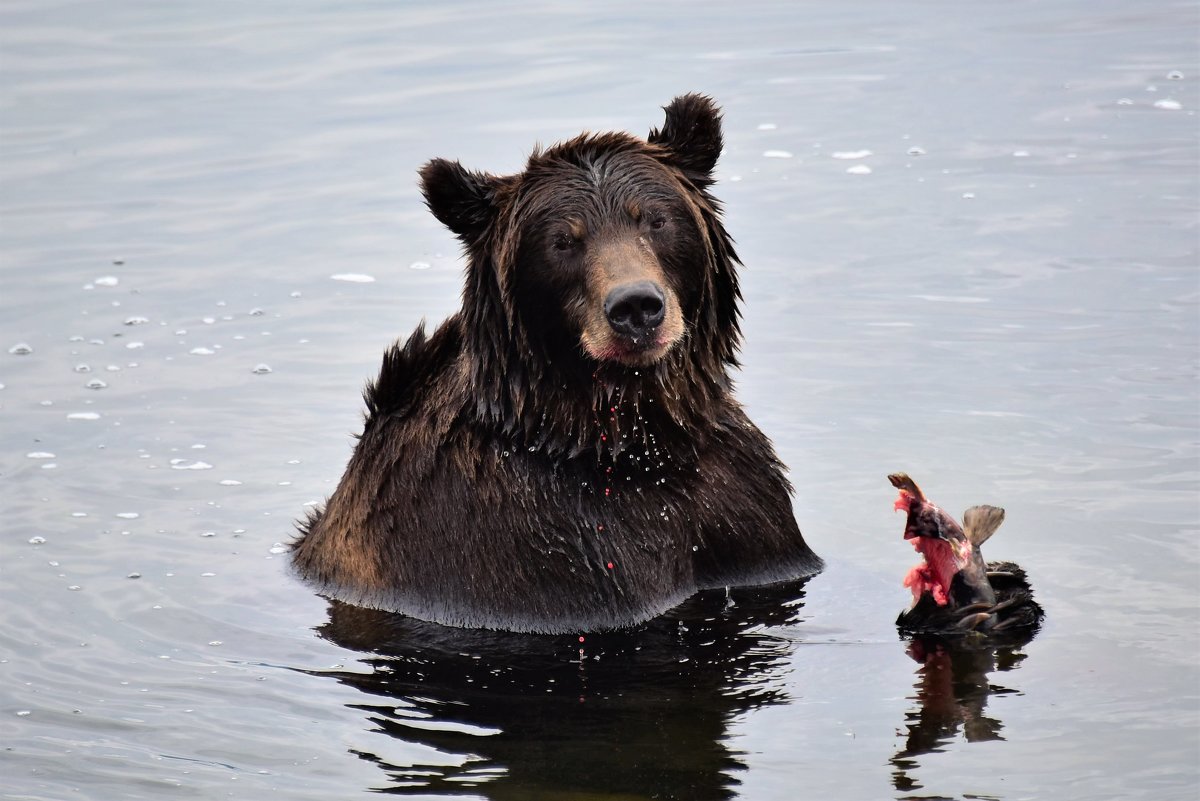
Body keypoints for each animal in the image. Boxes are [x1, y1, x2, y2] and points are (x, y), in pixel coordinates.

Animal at [292, 94, 825, 633]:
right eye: (563, 241)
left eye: (654, 219)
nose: (636, 307)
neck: (625, 447)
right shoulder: (539, 552)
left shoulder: (741, 508)